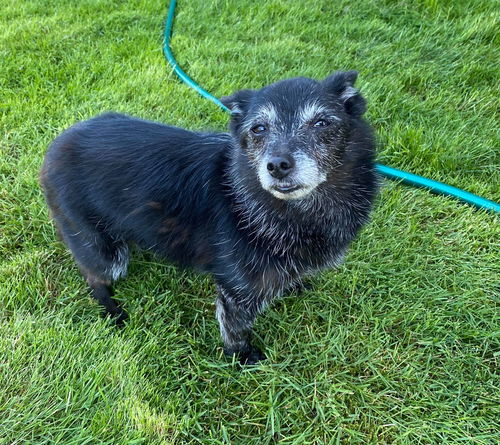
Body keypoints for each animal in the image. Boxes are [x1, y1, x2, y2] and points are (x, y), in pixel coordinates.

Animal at [41, 72, 376, 364]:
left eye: (321, 122)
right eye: (258, 129)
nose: (278, 165)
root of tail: (57, 144)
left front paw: (294, 286)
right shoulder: (237, 292)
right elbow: (236, 329)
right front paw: (242, 358)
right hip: (104, 251)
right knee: (93, 277)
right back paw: (112, 311)